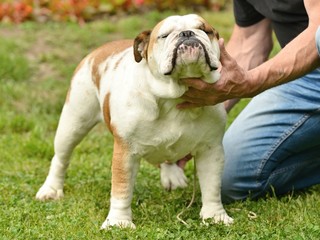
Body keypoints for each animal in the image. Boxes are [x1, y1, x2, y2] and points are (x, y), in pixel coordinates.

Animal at [36, 14, 234, 228]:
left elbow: (212, 186)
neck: (173, 98)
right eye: (165, 35)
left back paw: (172, 176)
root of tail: (98, 51)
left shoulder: (210, 150)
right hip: (73, 122)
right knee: (60, 158)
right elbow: (121, 189)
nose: (187, 34)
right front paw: (118, 223)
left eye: (205, 30)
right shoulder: (126, 152)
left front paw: (215, 216)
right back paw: (51, 189)